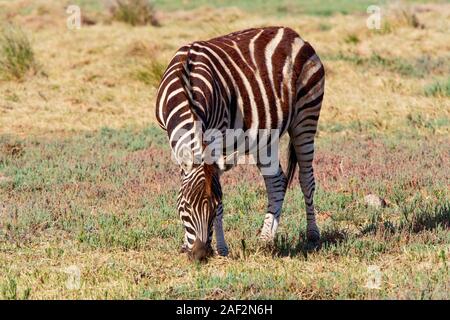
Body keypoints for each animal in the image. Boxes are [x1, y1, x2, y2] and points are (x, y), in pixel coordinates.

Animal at [155, 26, 324, 262]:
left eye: (215, 207)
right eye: (185, 206)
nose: (200, 255)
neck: (187, 85)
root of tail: (292, 33)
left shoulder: (217, 136)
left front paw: (222, 249)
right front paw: (185, 244)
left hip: (306, 115)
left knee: (306, 178)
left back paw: (312, 234)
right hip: (266, 135)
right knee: (277, 181)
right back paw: (266, 239)